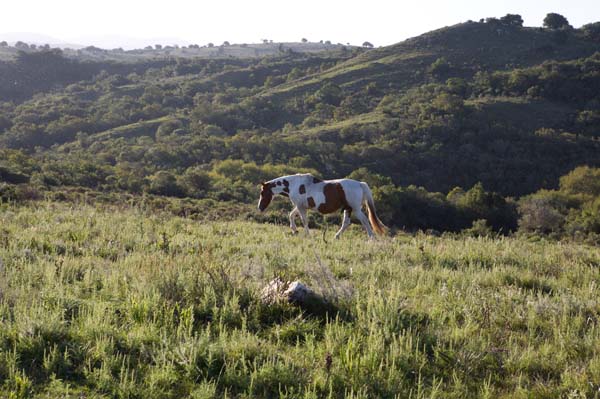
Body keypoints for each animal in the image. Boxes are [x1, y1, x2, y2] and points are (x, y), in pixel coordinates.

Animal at [255, 173, 386, 239]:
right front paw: (294, 230)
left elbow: (304, 220)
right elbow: (291, 215)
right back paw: (336, 236)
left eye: (262, 193)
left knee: (364, 220)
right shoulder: (300, 206)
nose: (260, 208)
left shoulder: (301, 207)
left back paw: (371, 237)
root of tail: (360, 184)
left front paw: (306, 234)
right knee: (346, 223)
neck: (295, 184)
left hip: (355, 209)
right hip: (348, 209)